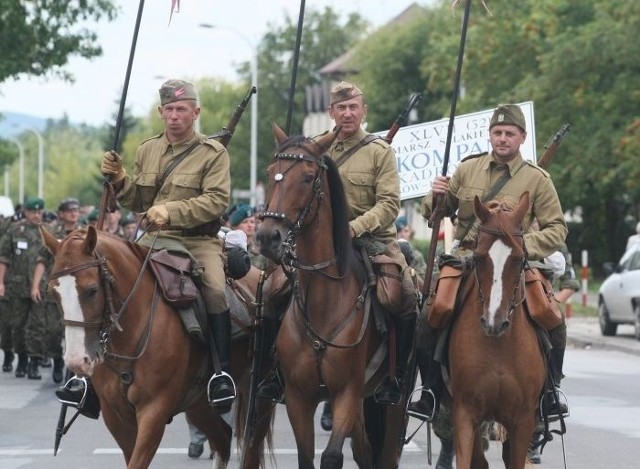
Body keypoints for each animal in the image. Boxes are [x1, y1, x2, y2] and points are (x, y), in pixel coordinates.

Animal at [39, 225, 276, 466]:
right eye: (52, 292)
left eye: (92, 290)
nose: (77, 361)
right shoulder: (115, 415)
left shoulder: (154, 410)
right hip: (198, 404)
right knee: (223, 440)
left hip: (257, 398)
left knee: (250, 448)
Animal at [256, 124, 410, 468]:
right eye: (271, 172)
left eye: (306, 177)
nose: (268, 237)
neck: (322, 302)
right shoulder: (298, 397)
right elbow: (306, 457)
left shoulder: (347, 393)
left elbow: (331, 456)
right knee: (364, 448)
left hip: (390, 402)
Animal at [448, 191, 548, 468]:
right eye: (479, 258)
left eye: (519, 259)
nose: (494, 322)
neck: (498, 347)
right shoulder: (464, 413)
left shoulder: (522, 420)